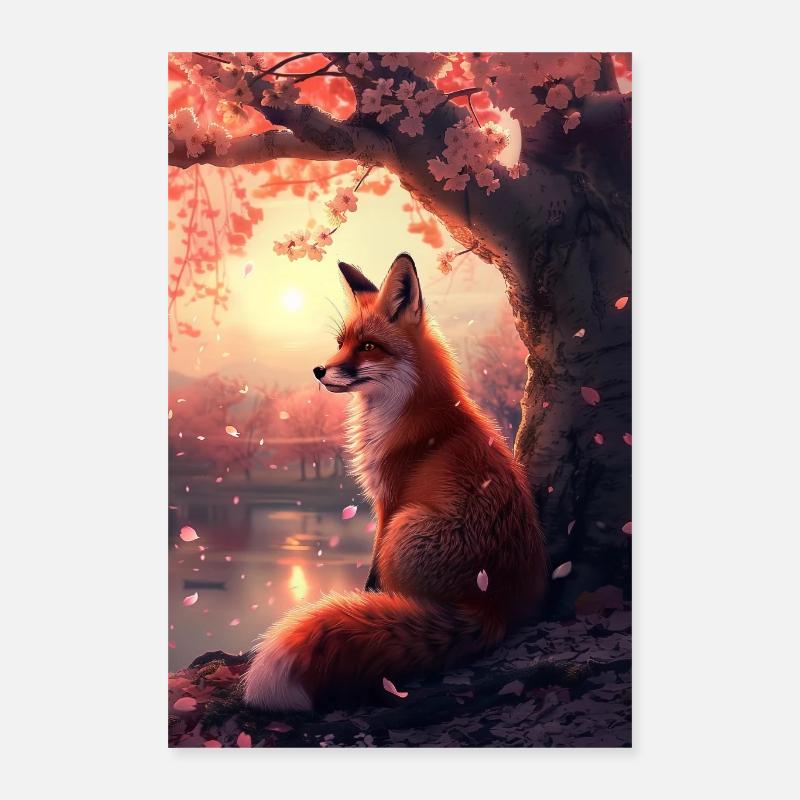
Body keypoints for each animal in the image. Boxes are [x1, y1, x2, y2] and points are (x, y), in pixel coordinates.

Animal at [242, 253, 546, 711]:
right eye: (341, 342)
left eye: (368, 346)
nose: (318, 370)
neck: (404, 411)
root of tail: (492, 609)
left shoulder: (388, 500)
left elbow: (371, 573)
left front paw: (365, 597)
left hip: (406, 525)